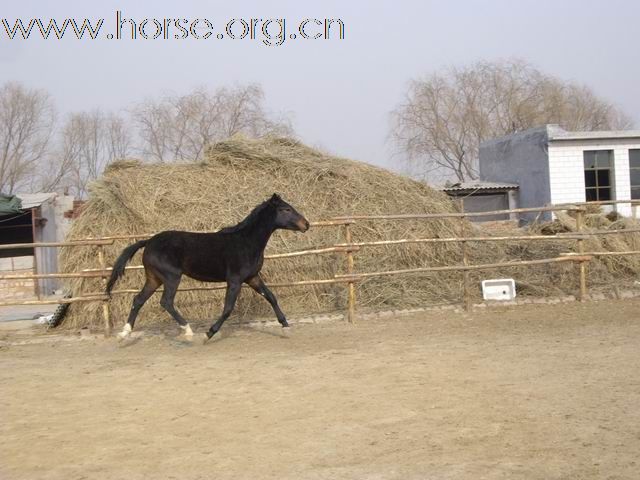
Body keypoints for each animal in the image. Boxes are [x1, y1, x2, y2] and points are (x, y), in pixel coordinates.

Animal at [107, 194, 310, 342]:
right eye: (286, 209)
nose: (306, 224)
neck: (246, 242)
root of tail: (148, 241)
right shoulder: (235, 280)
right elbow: (228, 308)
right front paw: (209, 333)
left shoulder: (252, 277)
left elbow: (271, 297)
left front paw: (286, 326)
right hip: (171, 277)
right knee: (166, 302)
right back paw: (188, 331)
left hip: (154, 278)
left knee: (138, 300)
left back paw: (124, 334)